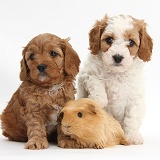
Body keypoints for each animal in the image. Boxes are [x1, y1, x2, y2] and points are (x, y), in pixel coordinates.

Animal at [77, 14, 153, 144]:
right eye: (109, 40)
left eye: (131, 42)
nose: (118, 57)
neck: (117, 74)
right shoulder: (87, 74)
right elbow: (96, 82)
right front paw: (99, 99)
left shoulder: (134, 98)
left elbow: (131, 118)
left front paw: (132, 136)